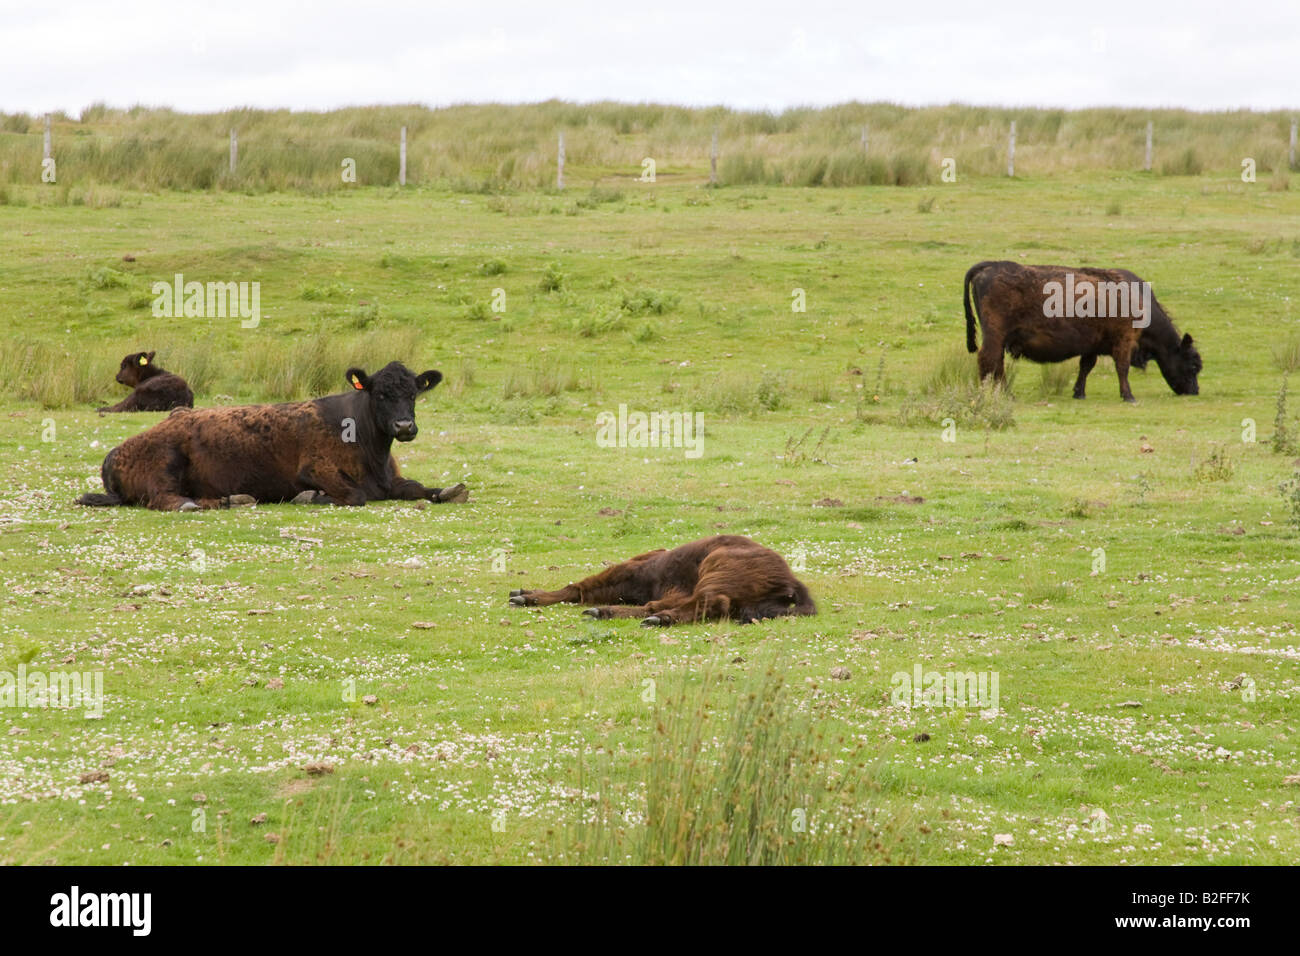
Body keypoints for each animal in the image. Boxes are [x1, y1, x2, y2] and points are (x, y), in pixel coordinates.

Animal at [75, 361, 468, 511]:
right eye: (381, 394)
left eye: (413, 394)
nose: (404, 427)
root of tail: (114, 453)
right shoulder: (315, 468)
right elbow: (353, 495)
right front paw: (310, 497)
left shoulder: (392, 479)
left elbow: (420, 487)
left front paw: (449, 490)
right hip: (165, 462)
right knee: (166, 497)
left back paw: (233, 499)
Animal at [963, 260, 1201, 403]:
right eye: (1193, 365)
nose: (1194, 391)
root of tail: (991, 266)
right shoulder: (1124, 341)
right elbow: (1122, 368)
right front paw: (1128, 395)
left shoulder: (1092, 345)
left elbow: (1086, 367)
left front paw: (1079, 393)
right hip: (995, 336)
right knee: (989, 360)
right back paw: (998, 394)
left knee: (995, 363)